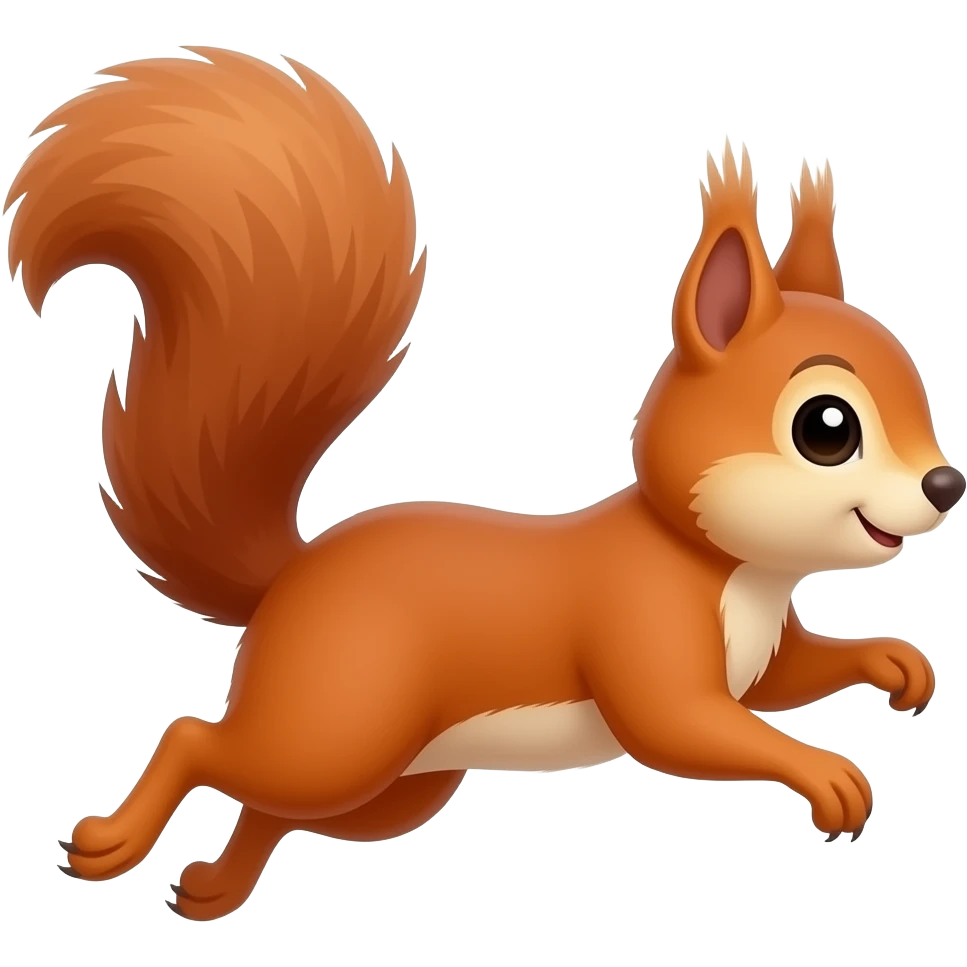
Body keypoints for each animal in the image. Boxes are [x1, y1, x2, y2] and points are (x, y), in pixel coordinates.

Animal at [10, 48, 960, 921]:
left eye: (918, 389)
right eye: (826, 429)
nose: (945, 482)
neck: (731, 569)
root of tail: (286, 580)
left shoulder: (762, 656)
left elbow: (793, 675)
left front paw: (893, 663)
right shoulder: (642, 626)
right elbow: (683, 725)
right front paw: (824, 772)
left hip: (387, 784)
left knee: (271, 806)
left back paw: (214, 885)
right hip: (339, 718)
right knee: (197, 740)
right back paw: (113, 841)